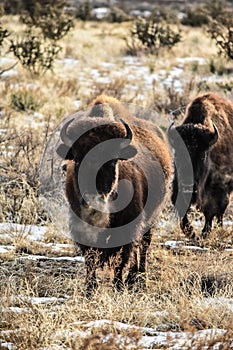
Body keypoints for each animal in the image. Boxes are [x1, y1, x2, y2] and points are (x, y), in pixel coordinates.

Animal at [56, 95, 171, 296]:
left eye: (112, 161)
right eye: (77, 160)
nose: (93, 201)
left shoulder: (129, 227)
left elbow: (122, 258)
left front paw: (118, 286)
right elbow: (90, 259)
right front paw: (90, 288)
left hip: (152, 218)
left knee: (144, 246)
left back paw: (138, 278)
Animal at [168, 91, 233, 238]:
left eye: (203, 155)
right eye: (176, 154)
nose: (188, 186)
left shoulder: (218, 187)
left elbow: (211, 210)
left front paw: (204, 233)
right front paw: (191, 233)